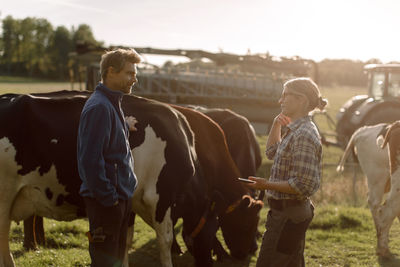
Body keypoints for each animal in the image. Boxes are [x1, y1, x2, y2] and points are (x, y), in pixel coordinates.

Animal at [0, 92, 219, 267]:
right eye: (214, 232)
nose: (210, 261)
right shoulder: (160, 197)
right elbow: (165, 240)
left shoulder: (131, 202)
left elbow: (125, 242)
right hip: (4, 198)